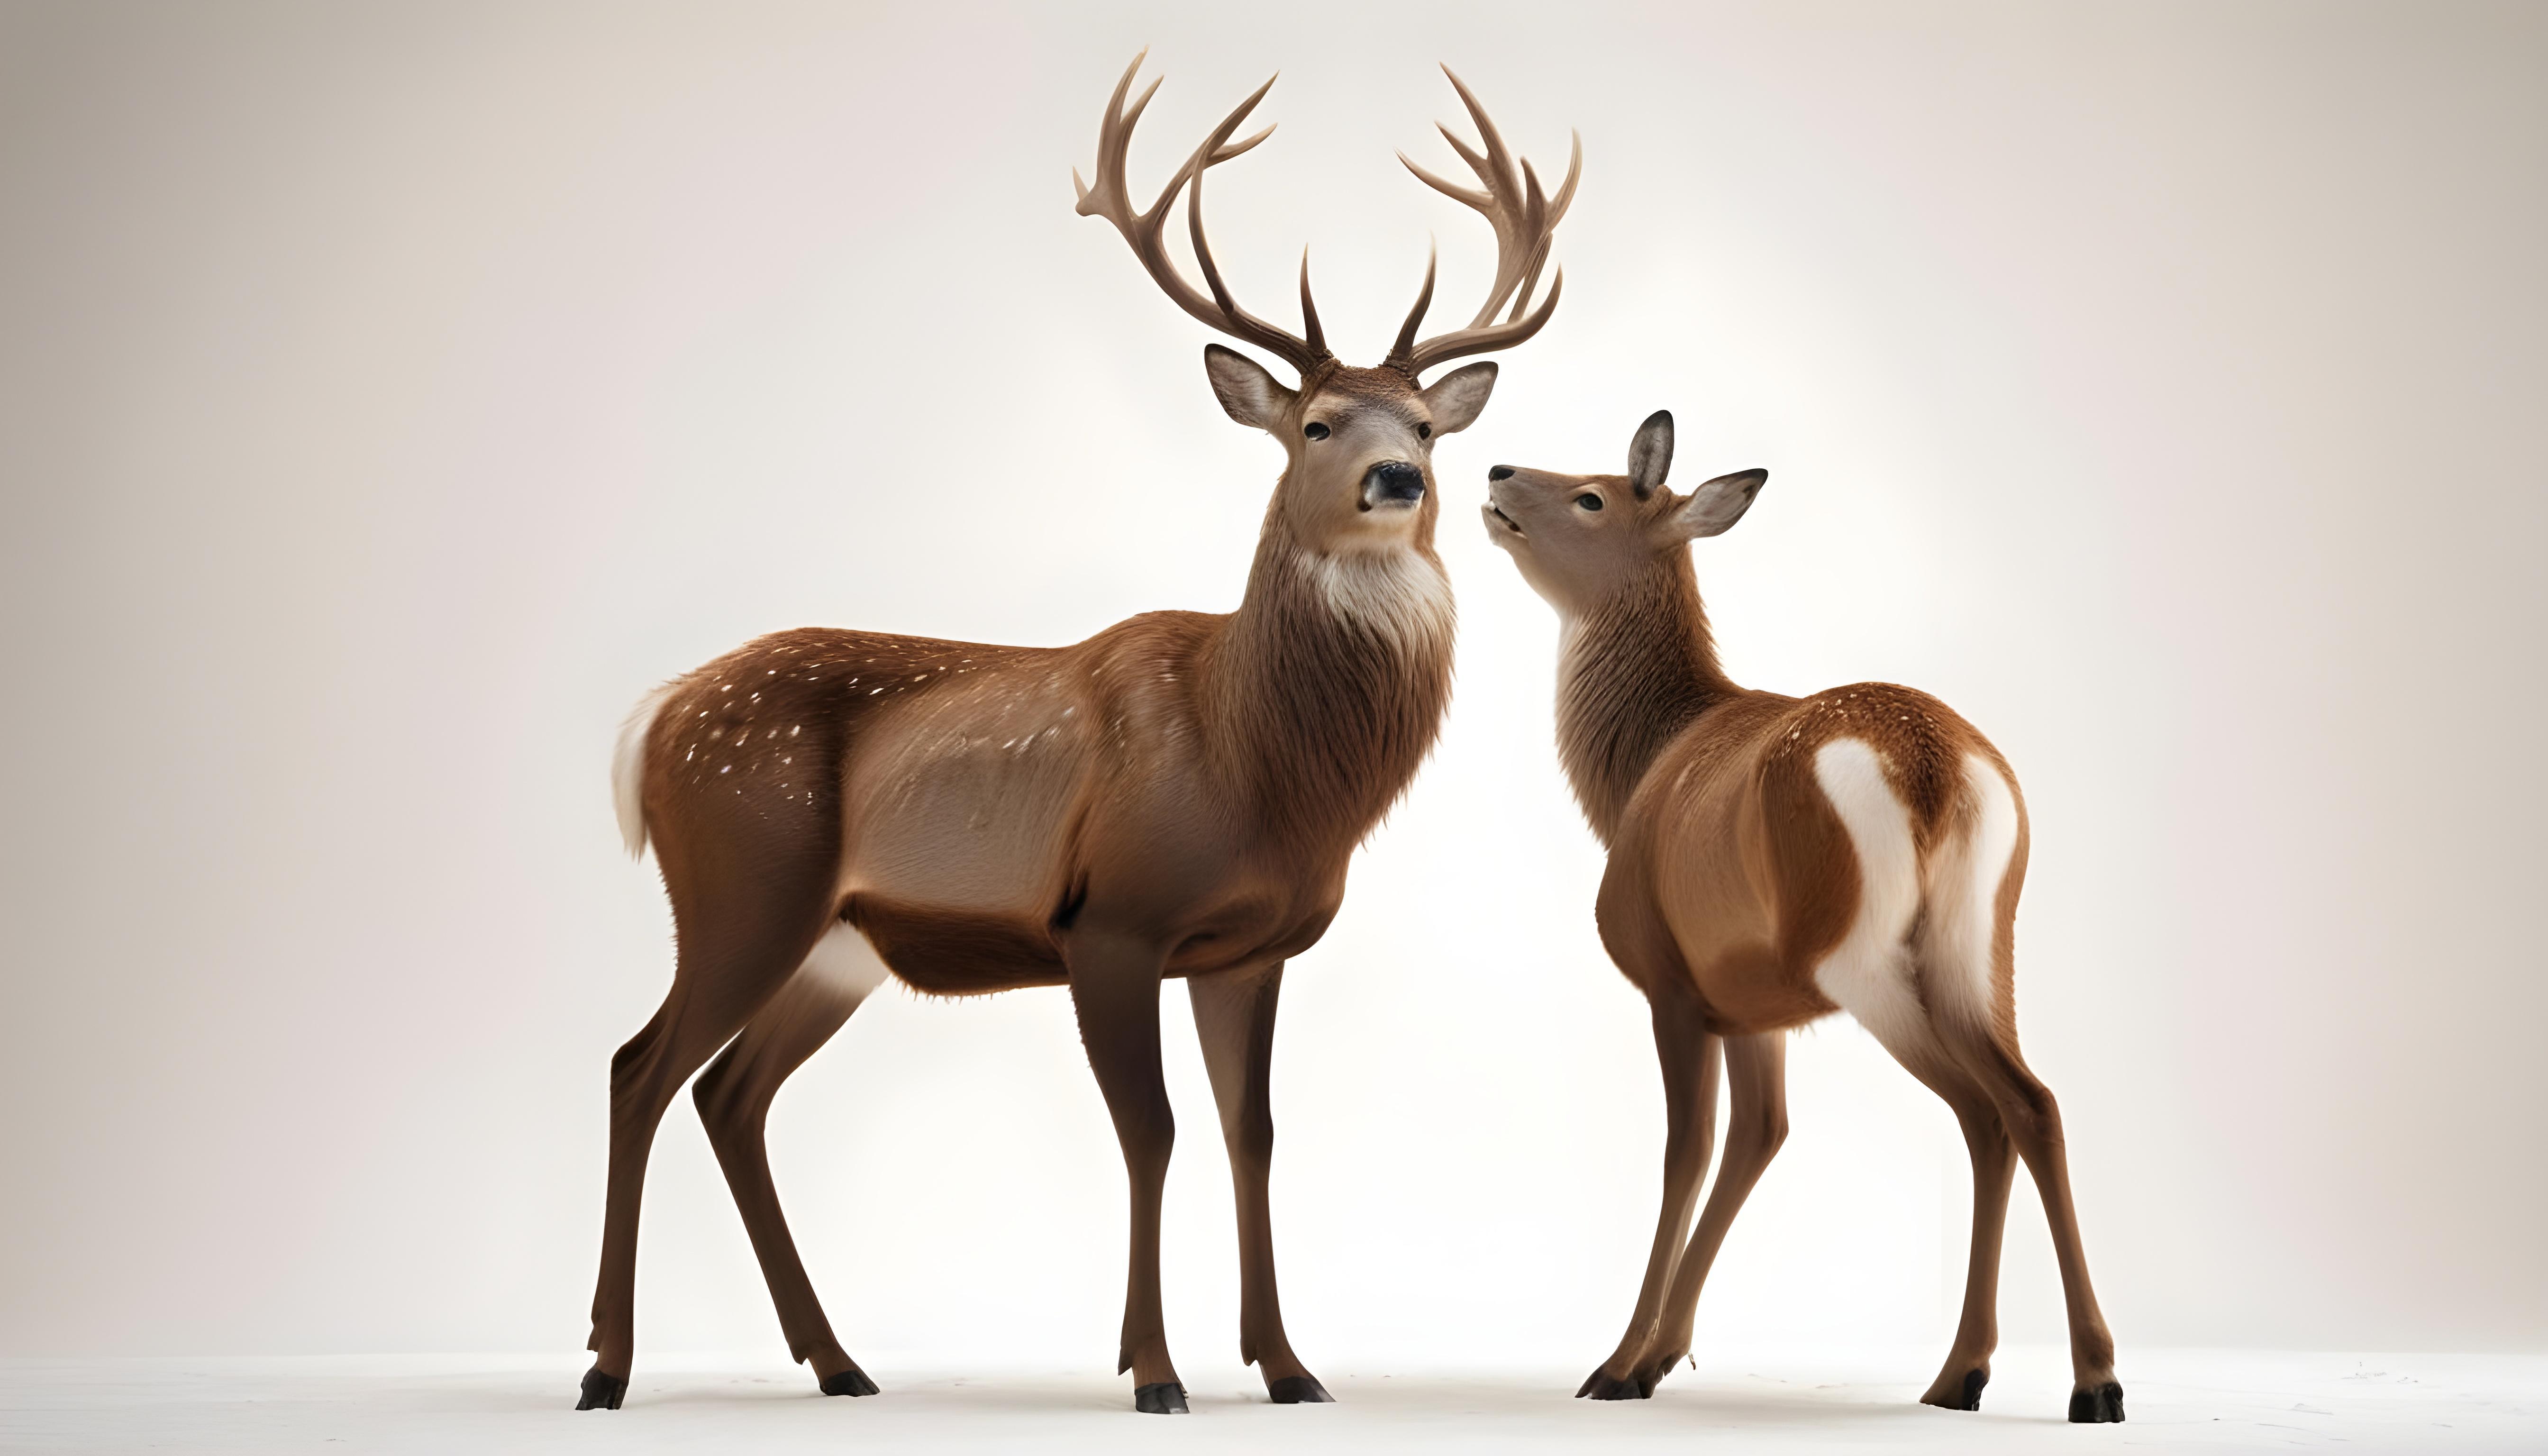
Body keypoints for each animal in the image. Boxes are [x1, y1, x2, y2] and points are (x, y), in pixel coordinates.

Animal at [575, 54, 1580, 1415]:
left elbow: (1253, 1133)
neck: (1261, 769)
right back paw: (606, 1366)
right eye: (1316, 423)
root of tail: (655, 719)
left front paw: (1289, 1368)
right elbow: (1149, 1131)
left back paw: (839, 1363)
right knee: (640, 1067)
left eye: (1426, 423)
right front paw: (1153, 1372)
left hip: (840, 941)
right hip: (745, 883)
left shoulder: (1247, 949)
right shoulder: (1112, 918)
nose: (1400, 483)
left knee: (732, 1096)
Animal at [1479, 411, 2125, 1423]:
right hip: (1979, 945)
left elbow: (1688, 1149)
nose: (1498, 470)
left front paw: (1620, 1363)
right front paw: (1663, 1352)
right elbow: (1759, 1135)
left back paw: (2065, 1379)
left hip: (1857, 960)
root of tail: (1935, 767)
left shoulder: (1672, 984)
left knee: (1992, 1104)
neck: (1639, 769)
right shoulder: (1751, 1005)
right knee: (2023, 1106)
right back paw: (1995, 1374)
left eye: (1592, 495)